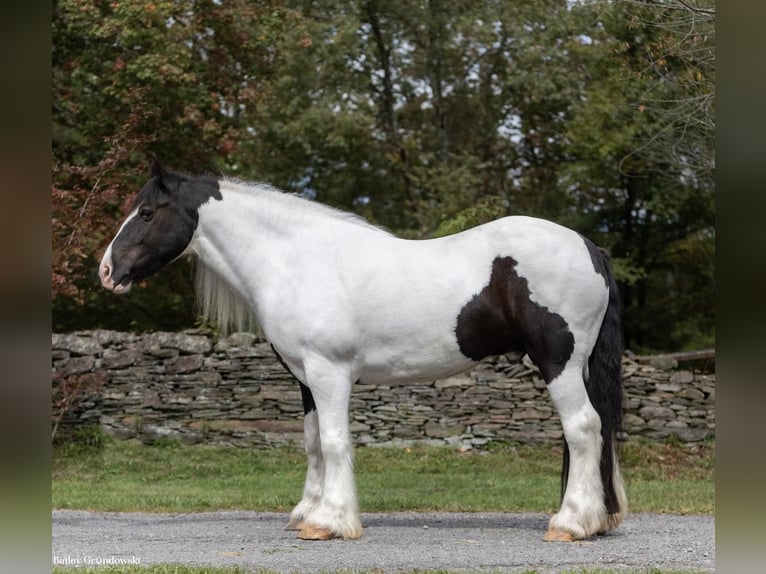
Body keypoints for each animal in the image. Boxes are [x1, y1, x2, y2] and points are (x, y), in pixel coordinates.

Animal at [100, 161, 632, 544]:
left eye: (146, 213)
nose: (107, 271)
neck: (292, 261)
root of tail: (588, 247)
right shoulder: (304, 378)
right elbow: (313, 443)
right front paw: (307, 512)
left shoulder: (329, 372)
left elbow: (335, 442)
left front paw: (330, 522)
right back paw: (597, 518)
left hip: (559, 363)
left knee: (583, 429)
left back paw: (571, 524)